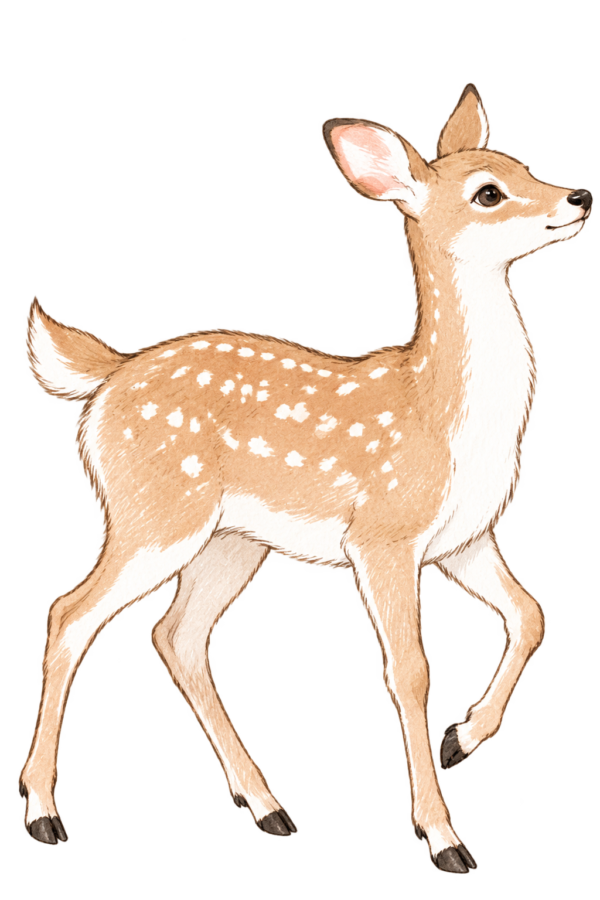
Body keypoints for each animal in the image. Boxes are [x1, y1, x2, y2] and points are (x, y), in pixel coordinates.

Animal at [18, 82, 593, 876]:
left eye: (525, 163)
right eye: (487, 192)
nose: (581, 196)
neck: (441, 414)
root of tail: (104, 380)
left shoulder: (464, 538)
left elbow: (531, 614)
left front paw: (462, 737)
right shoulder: (383, 534)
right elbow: (408, 668)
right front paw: (443, 838)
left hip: (231, 541)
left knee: (177, 636)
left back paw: (268, 807)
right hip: (154, 513)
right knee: (71, 615)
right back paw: (43, 814)